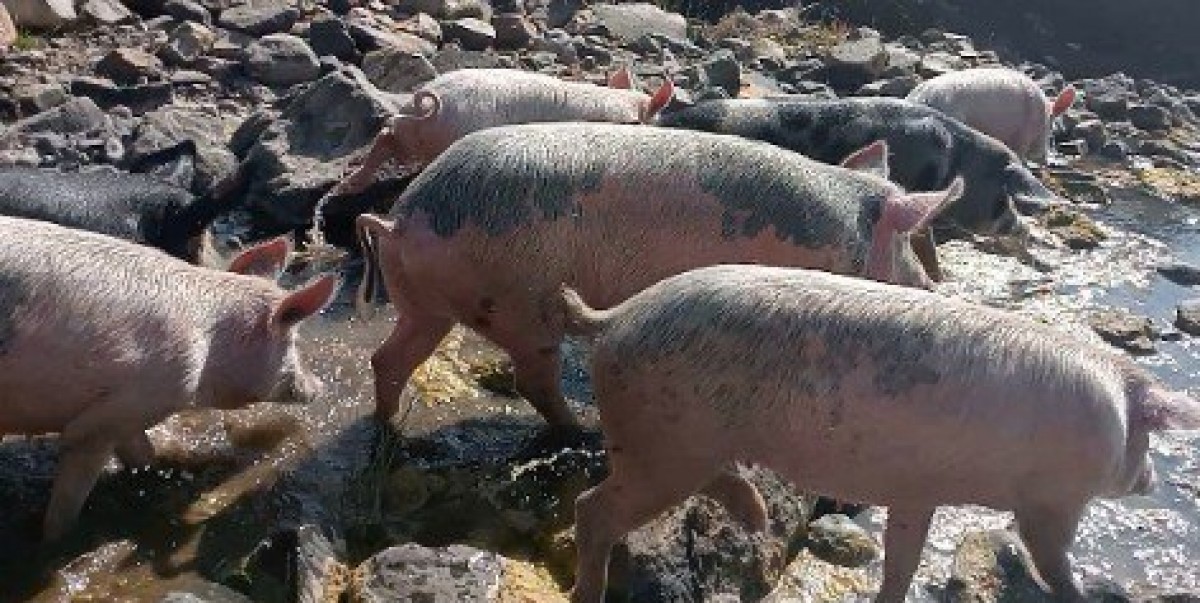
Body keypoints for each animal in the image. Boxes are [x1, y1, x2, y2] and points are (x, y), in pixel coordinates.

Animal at [0, 216, 337, 541]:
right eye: (293, 340)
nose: (319, 386)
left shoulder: (128, 417)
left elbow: (144, 455)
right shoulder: (113, 414)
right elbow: (70, 496)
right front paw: (54, 539)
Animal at [355, 122, 963, 427]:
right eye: (909, 244)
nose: (936, 286)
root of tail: (399, 219)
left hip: (425, 303)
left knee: (388, 358)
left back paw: (390, 427)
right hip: (518, 300)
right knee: (533, 378)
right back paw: (581, 431)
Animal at [557, 264, 1200, 603]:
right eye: (1147, 440)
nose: (1149, 479)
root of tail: (614, 318)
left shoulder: (918, 490)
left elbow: (904, 560)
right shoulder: (1051, 497)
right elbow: (1052, 556)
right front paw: (1077, 593)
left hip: (678, 442)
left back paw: (757, 516)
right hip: (662, 438)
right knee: (593, 508)